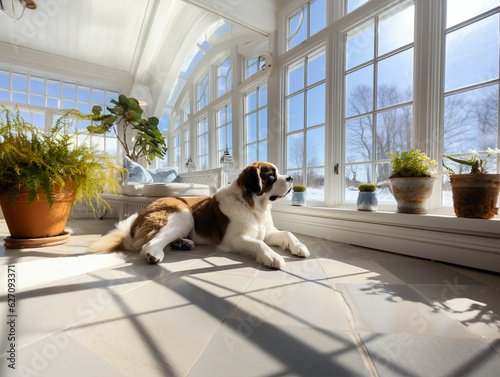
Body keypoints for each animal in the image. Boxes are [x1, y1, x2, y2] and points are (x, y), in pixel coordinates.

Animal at [89, 161, 308, 268]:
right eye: (271, 175)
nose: (291, 177)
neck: (252, 205)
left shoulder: (267, 231)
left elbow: (287, 233)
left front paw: (299, 247)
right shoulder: (235, 239)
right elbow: (258, 244)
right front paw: (272, 256)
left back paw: (182, 243)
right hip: (184, 214)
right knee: (148, 244)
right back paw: (155, 254)